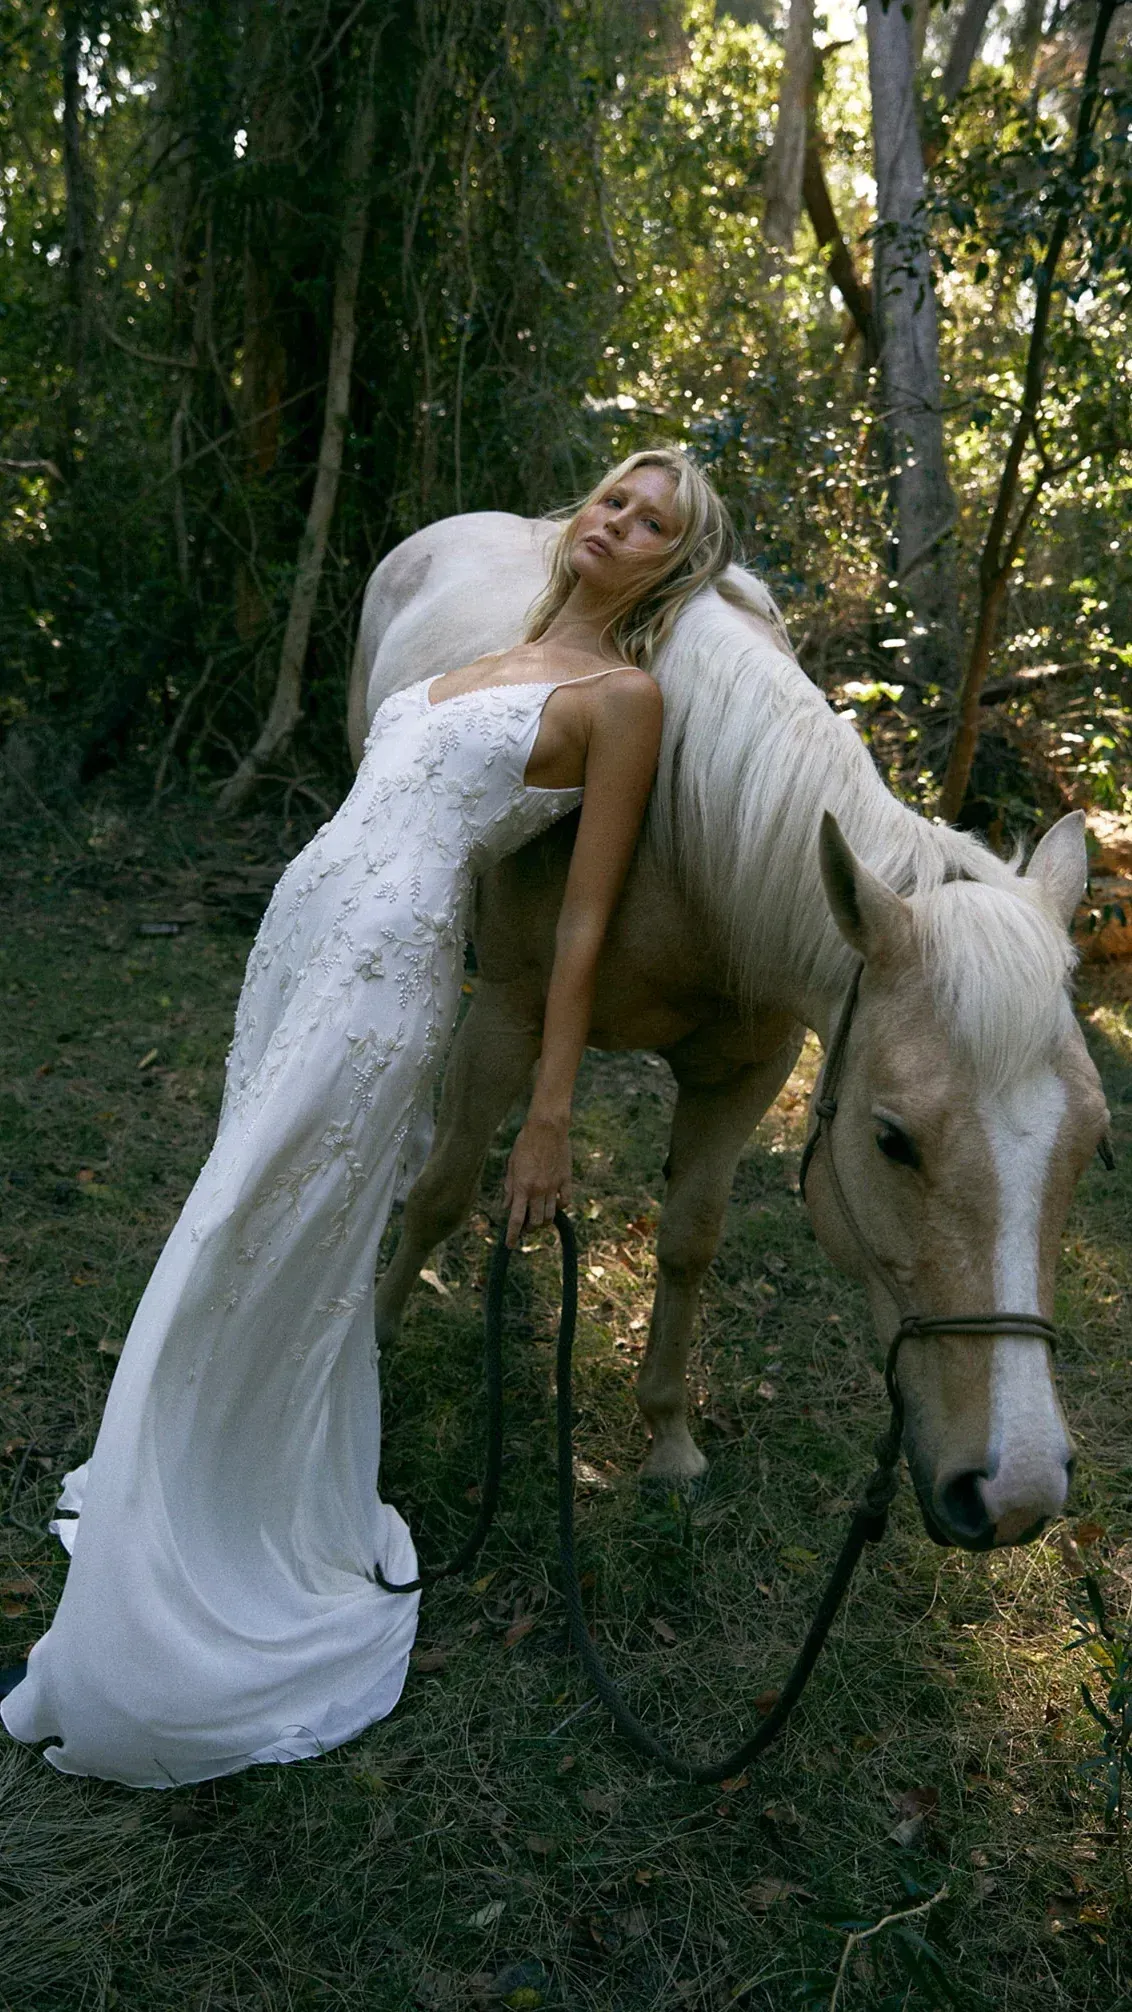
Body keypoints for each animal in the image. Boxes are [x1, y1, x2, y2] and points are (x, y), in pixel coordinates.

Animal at [345, 511, 1109, 1545]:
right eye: (892, 1140)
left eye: (1093, 1143)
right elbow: (443, 1193)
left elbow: (689, 1238)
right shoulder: (508, 1013)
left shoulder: (747, 1070)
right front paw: (378, 1339)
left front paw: (669, 1439)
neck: (683, 833)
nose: (1017, 1491)